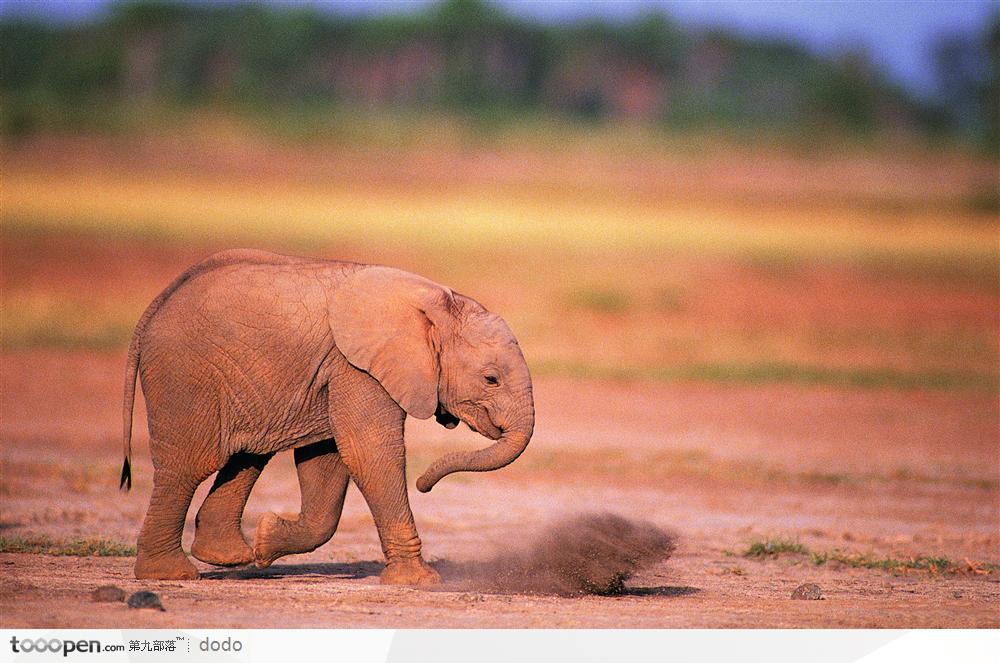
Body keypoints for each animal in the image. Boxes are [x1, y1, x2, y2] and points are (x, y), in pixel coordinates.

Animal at [121, 252, 536, 584]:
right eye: (491, 379)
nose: (424, 485)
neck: (437, 304)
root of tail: (156, 305)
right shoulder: (357, 367)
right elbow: (369, 453)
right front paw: (421, 582)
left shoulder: (336, 372)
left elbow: (327, 459)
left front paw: (266, 541)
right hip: (185, 375)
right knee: (187, 466)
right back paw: (170, 574)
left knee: (248, 456)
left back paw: (230, 556)